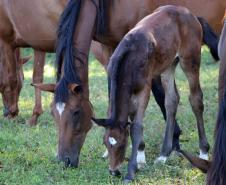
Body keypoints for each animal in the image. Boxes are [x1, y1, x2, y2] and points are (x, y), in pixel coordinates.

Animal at [0, 0, 224, 168]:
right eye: (54, 114)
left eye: (76, 113)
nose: (64, 161)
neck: (104, 4)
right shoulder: (109, 47)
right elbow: (113, 95)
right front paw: (110, 148)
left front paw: (140, 151)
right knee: (173, 99)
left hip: (192, 57)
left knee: (196, 98)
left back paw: (204, 152)